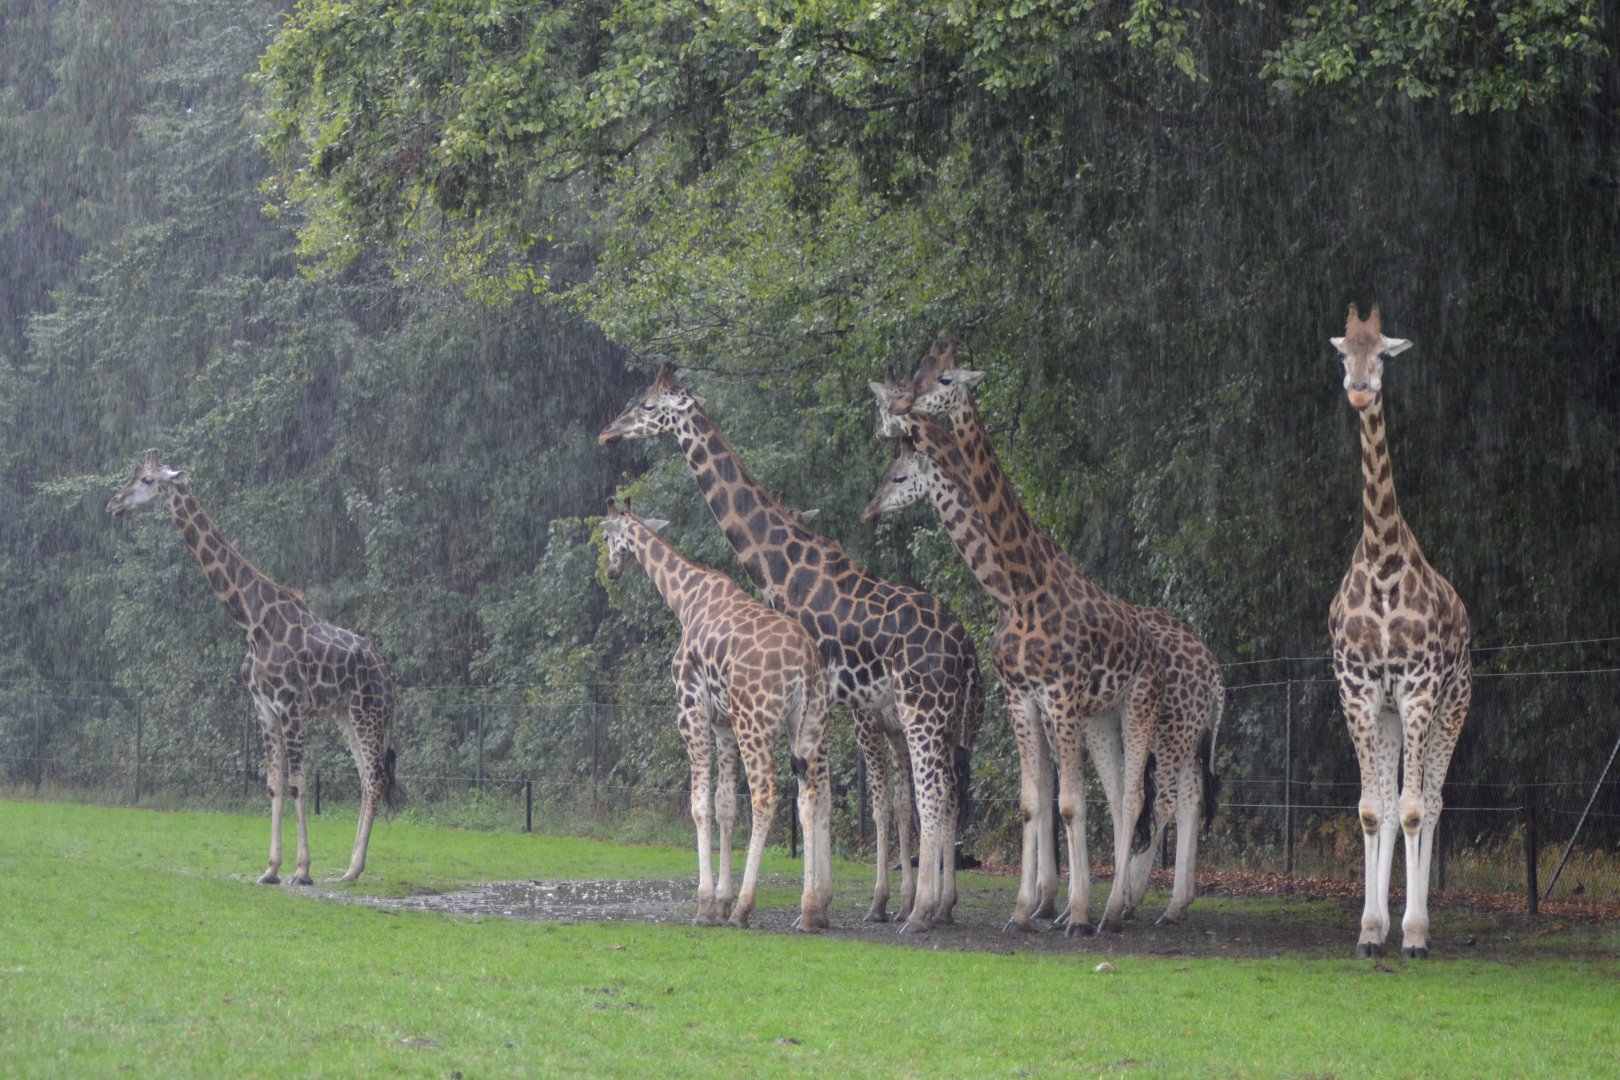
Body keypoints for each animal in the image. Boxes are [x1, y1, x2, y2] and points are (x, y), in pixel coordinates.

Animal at [106, 450, 395, 885]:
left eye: (147, 480)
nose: (114, 504)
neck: (251, 620)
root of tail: (389, 673)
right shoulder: (264, 708)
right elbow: (274, 783)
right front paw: (271, 869)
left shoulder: (291, 706)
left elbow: (298, 783)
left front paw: (302, 871)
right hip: (345, 713)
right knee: (365, 777)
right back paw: (349, 870)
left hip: (368, 711)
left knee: (375, 777)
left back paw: (352, 869)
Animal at [599, 500, 833, 929]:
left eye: (607, 536)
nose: (611, 570)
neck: (685, 598)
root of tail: (808, 664)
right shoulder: (723, 721)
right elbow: (726, 803)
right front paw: (721, 900)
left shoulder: (691, 709)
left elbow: (700, 803)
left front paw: (708, 904)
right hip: (808, 724)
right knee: (809, 797)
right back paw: (808, 911)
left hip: (756, 724)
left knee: (765, 797)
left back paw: (744, 909)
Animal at [863, 402, 1222, 926]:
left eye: (899, 475)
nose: (868, 510)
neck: (1005, 589)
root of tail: (1215, 672)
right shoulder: (1040, 706)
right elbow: (1044, 796)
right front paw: (1046, 902)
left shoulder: (1055, 704)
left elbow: (1060, 797)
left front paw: (1055, 903)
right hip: (1180, 735)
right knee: (1176, 796)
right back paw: (1165, 902)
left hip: (1169, 727)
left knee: (1163, 799)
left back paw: (1137, 902)